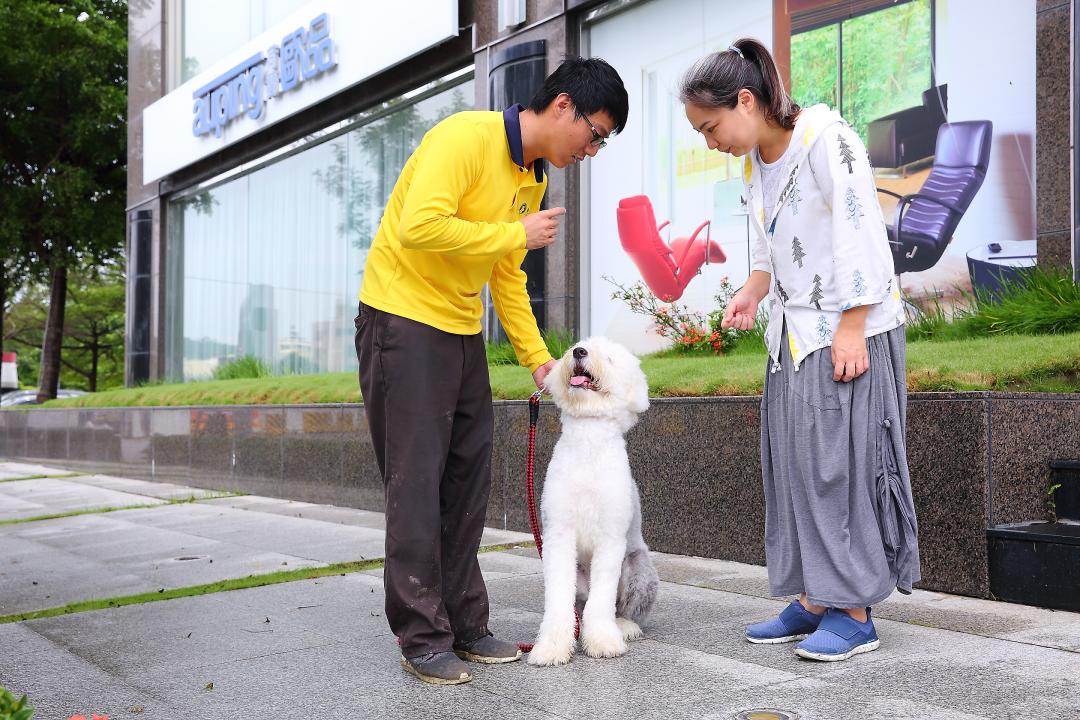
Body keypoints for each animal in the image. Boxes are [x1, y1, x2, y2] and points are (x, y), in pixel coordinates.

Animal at [524, 334, 656, 669]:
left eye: (608, 357)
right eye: (577, 345)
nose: (579, 352)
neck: (588, 435)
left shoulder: (610, 537)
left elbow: (604, 597)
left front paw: (604, 642)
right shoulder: (558, 533)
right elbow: (558, 596)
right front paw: (551, 648)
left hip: (639, 568)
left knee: (623, 607)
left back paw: (624, 627)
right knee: (578, 608)